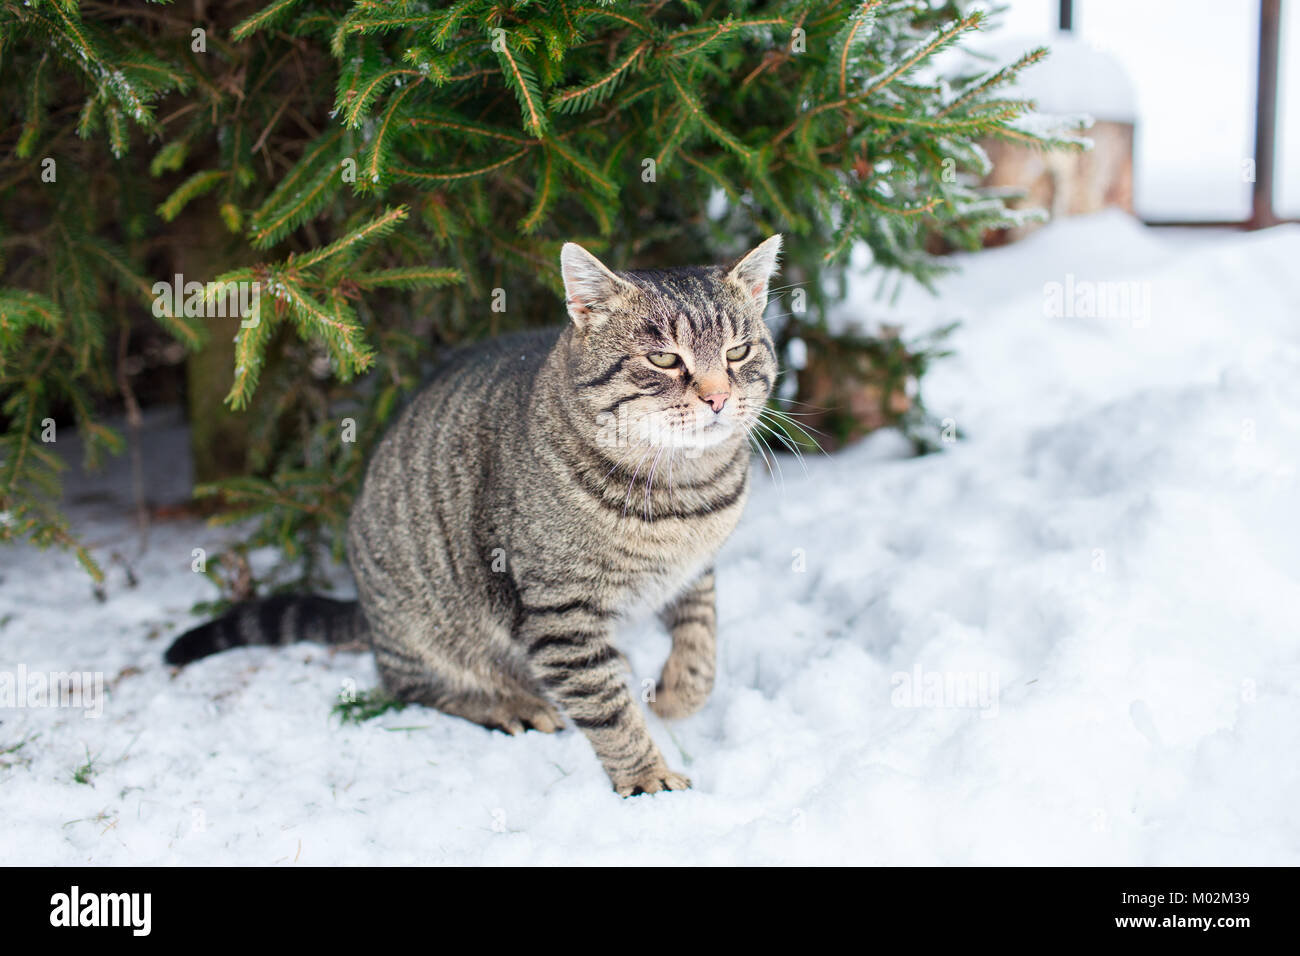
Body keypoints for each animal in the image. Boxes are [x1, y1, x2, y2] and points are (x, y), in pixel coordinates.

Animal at [169, 235, 785, 796]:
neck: (687, 492)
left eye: (736, 353)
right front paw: (646, 778)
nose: (717, 397)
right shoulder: (560, 611)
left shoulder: (694, 569)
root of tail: (367, 610)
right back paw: (508, 704)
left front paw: (680, 694)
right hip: (424, 619)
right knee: (410, 683)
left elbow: (702, 633)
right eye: (664, 359)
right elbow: (605, 706)